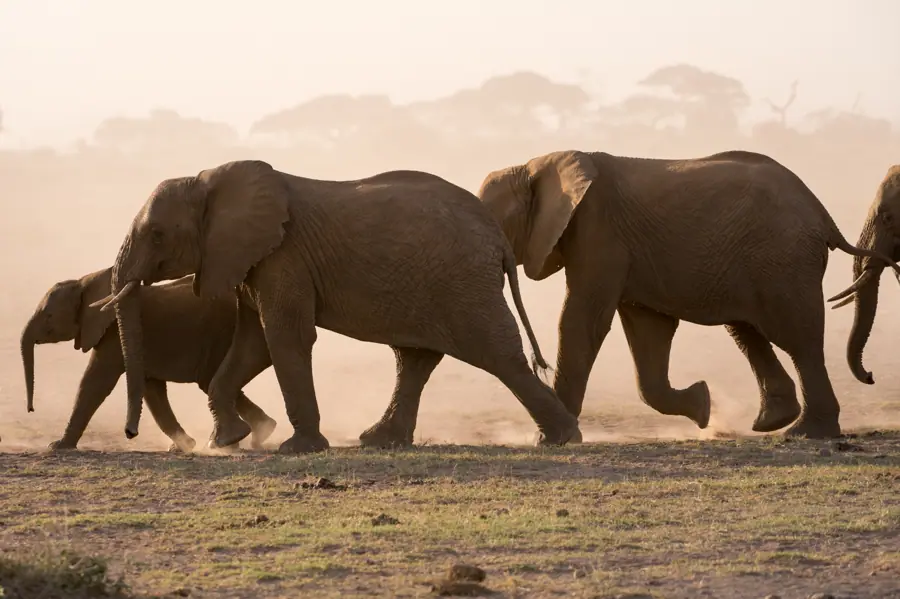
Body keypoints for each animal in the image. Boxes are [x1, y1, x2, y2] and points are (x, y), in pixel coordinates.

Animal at [21, 267, 277, 451]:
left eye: (49, 316)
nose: (31, 409)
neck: (86, 281)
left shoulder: (112, 333)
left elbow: (96, 382)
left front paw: (57, 447)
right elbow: (152, 390)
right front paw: (182, 446)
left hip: (221, 333)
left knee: (209, 380)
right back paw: (259, 433)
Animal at [91, 160, 579, 453]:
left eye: (157, 235)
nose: (129, 433)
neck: (210, 179)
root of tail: (496, 234)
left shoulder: (282, 255)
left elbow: (284, 337)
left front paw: (296, 449)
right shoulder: (252, 261)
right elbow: (254, 343)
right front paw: (229, 441)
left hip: (464, 282)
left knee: (498, 355)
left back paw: (559, 439)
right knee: (415, 359)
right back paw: (379, 441)